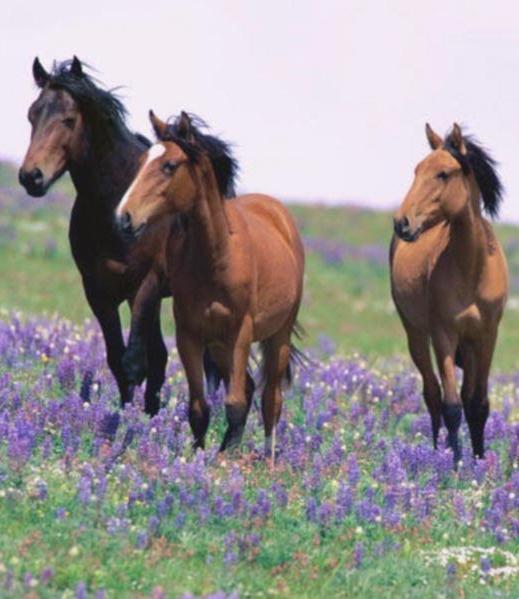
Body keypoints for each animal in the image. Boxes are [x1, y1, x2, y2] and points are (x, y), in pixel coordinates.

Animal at [114, 112, 304, 458]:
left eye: (169, 166)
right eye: (143, 161)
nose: (124, 217)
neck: (217, 258)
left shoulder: (240, 333)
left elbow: (235, 404)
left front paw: (227, 461)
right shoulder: (190, 334)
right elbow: (199, 408)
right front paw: (200, 457)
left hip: (277, 336)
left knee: (271, 399)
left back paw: (267, 461)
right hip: (218, 345)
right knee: (250, 387)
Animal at [390, 123, 508, 464]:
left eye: (443, 173)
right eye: (416, 170)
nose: (402, 222)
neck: (473, 269)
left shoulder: (486, 336)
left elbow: (478, 404)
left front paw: (479, 461)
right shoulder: (444, 334)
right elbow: (452, 406)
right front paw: (454, 464)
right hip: (416, 334)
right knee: (432, 395)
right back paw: (434, 451)